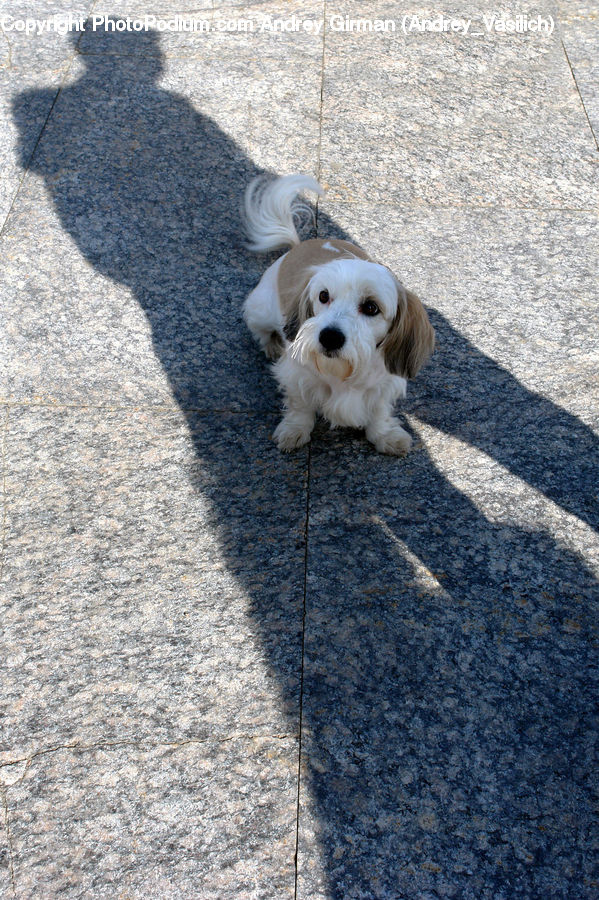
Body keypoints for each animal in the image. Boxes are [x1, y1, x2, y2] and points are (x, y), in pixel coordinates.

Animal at [244, 174, 436, 458]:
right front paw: (294, 430)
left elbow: (379, 411)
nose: (330, 337)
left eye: (371, 307)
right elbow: (299, 405)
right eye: (323, 296)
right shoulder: (296, 375)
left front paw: (385, 435)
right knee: (261, 330)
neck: (343, 373)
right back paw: (271, 344)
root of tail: (299, 245)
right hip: (260, 310)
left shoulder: (384, 384)